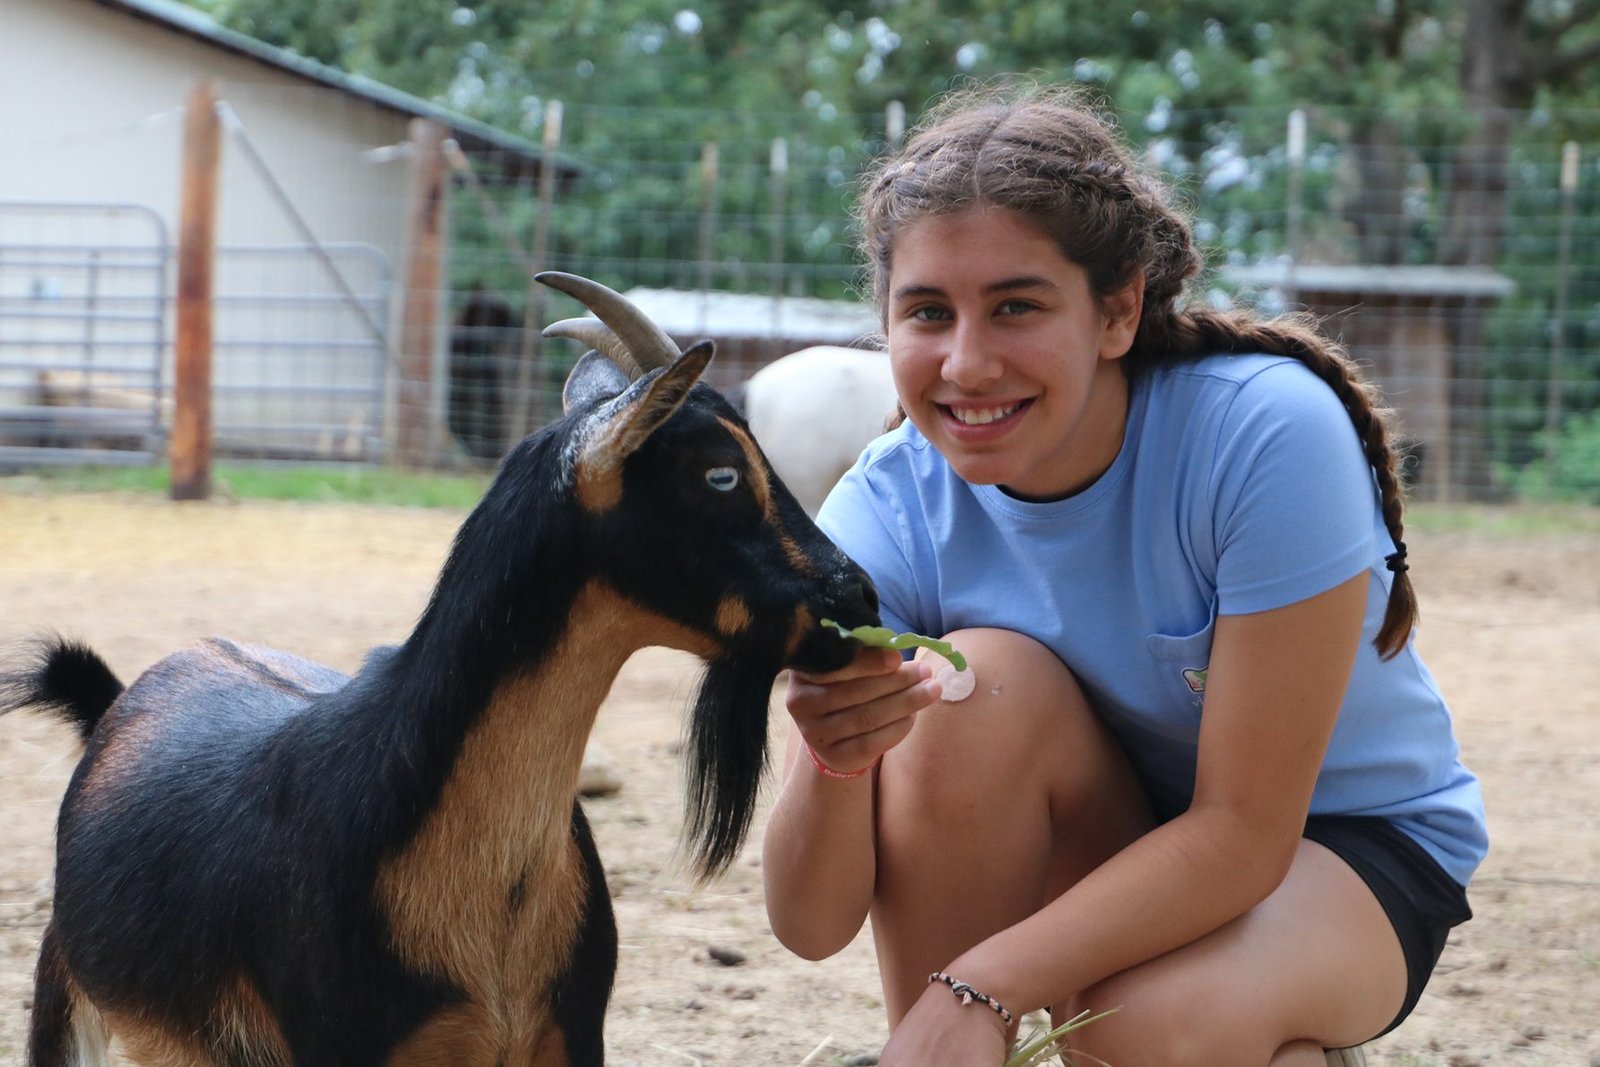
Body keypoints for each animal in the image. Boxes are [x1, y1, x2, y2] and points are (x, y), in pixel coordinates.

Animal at [0, 272, 879, 1067]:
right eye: (721, 473)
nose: (858, 592)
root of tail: (126, 692)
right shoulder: (348, 1045)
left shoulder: (567, 1036)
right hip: (64, 985)